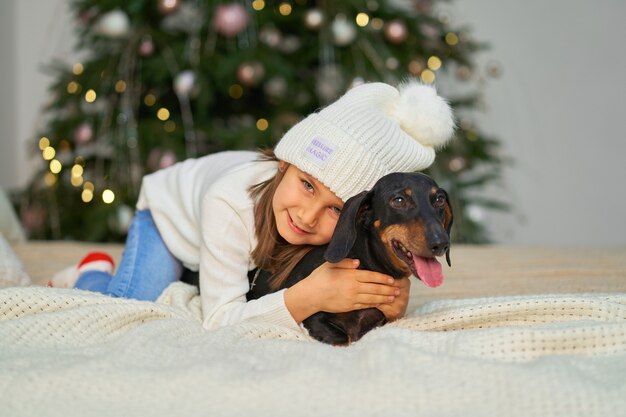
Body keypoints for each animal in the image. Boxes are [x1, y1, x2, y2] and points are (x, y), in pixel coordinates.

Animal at [246, 172, 450, 344]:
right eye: (398, 200)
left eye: (439, 200)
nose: (441, 244)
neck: (366, 263)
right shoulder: (314, 317)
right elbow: (342, 339)